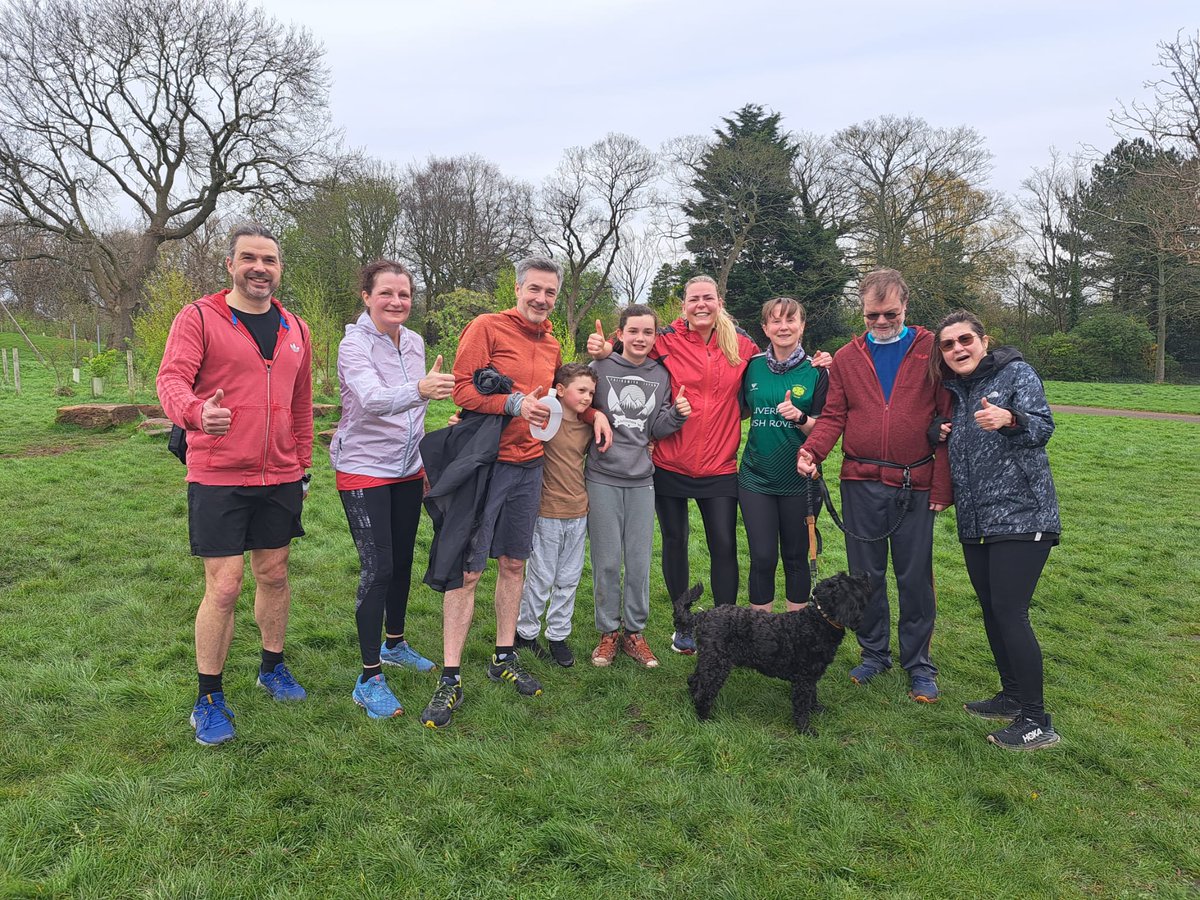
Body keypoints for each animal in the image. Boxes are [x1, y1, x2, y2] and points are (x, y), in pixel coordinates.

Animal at [676, 578, 873, 734]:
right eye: (852, 582)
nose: (867, 575)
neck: (818, 621)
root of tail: (703, 615)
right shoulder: (803, 679)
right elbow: (802, 705)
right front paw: (805, 730)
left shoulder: (811, 676)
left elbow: (813, 695)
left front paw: (817, 709)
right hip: (717, 665)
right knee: (704, 691)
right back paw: (705, 719)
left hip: (709, 660)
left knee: (694, 680)